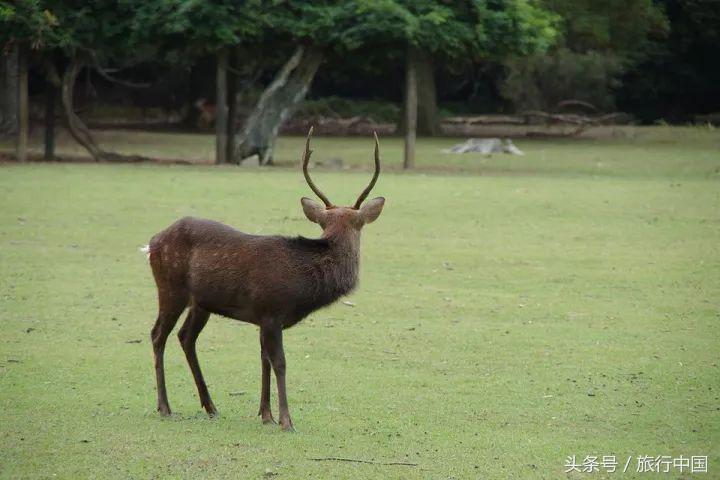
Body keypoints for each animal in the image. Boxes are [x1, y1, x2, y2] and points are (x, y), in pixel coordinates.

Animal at [143, 127, 384, 431]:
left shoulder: (261, 316)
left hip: (201, 302)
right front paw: (286, 420)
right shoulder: (271, 310)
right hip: (170, 287)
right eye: (359, 224)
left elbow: (263, 360)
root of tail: (152, 242)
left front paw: (266, 415)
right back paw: (164, 406)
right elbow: (279, 362)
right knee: (157, 334)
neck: (303, 286)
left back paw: (211, 406)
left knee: (186, 337)